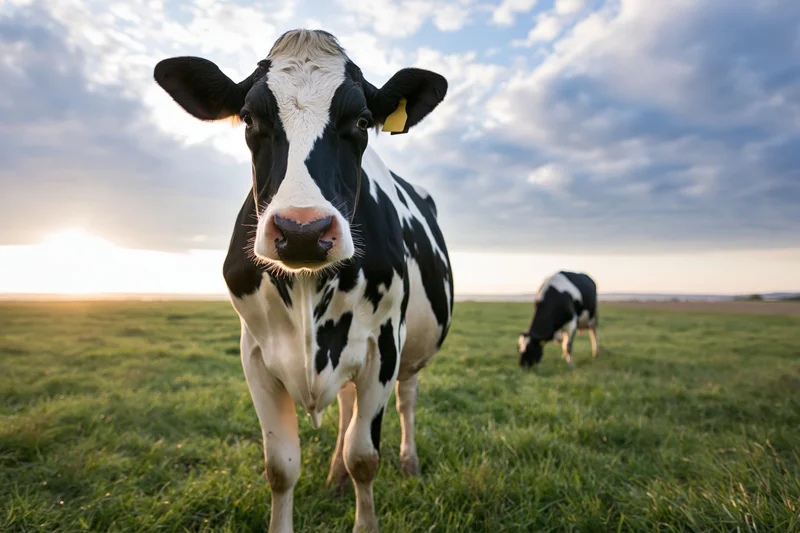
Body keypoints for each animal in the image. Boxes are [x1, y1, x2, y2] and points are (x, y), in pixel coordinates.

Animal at [153, 29, 453, 533]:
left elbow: (364, 457)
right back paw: (334, 477)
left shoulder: (383, 345)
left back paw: (409, 463)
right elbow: (281, 466)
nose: (302, 231)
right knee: (346, 408)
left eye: (363, 120)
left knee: (406, 400)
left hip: (410, 349)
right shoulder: (255, 353)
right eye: (250, 118)